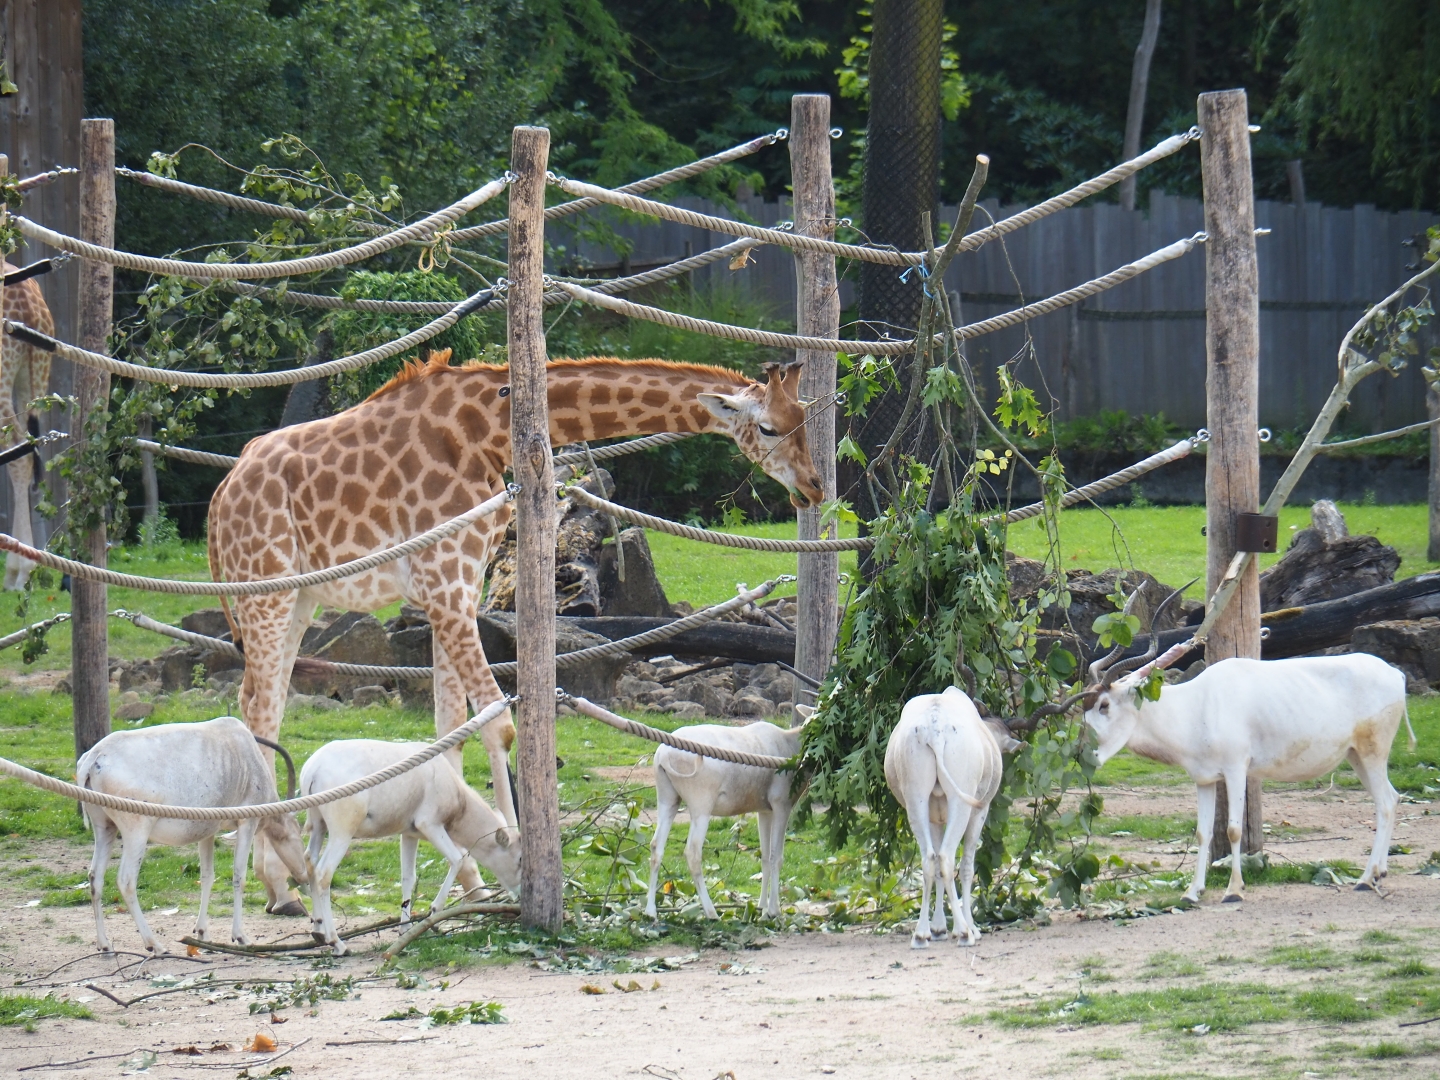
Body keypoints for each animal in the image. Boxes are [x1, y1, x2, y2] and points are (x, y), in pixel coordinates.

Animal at [208, 352, 824, 914]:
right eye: (768, 428)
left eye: (805, 418)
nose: (815, 488)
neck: (486, 429)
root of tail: (221, 497)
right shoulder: (446, 581)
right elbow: (497, 725)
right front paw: (516, 864)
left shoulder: (452, 587)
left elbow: (451, 727)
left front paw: (470, 883)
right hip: (266, 589)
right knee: (258, 706)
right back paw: (288, 870)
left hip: (301, 597)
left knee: (263, 701)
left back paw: (277, 883)